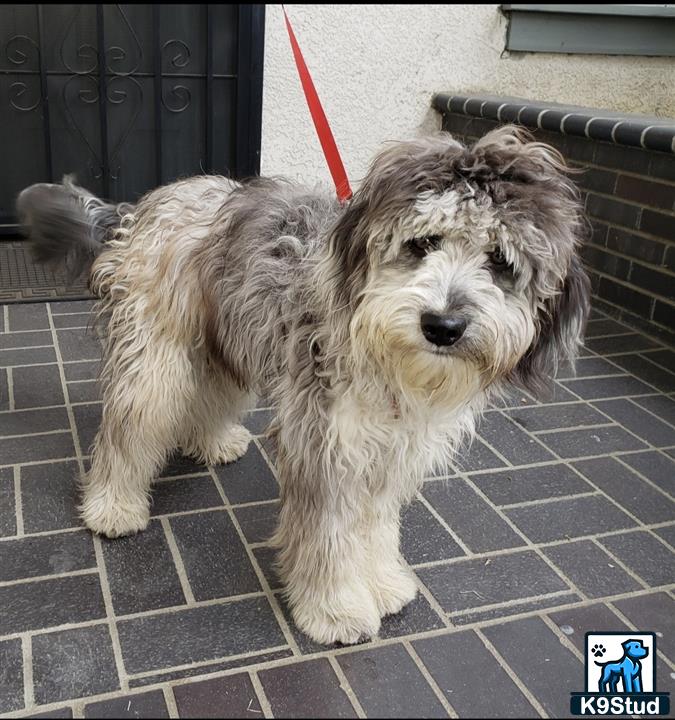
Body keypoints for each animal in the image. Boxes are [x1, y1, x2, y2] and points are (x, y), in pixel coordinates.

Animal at [17, 128, 592, 648]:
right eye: (423, 242)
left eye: (500, 261)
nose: (443, 326)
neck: (380, 351)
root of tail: (143, 206)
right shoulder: (326, 441)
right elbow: (329, 537)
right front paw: (335, 610)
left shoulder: (389, 450)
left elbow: (377, 526)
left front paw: (383, 582)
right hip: (156, 359)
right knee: (131, 424)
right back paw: (113, 507)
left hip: (228, 339)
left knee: (213, 394)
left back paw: (213, 441)